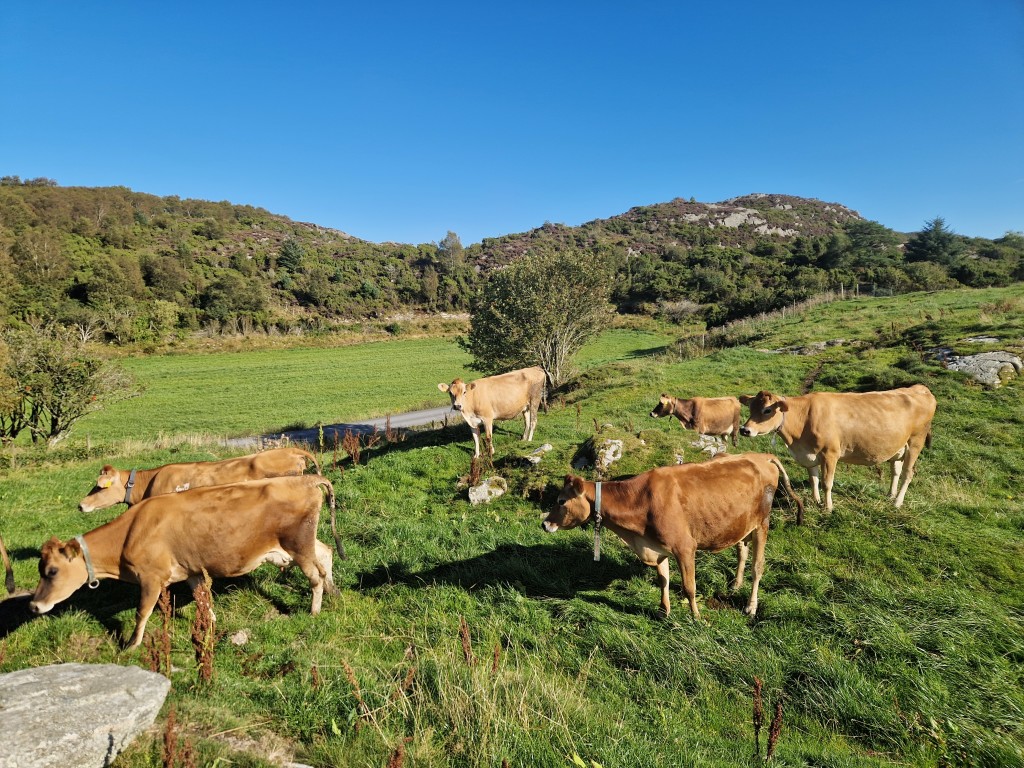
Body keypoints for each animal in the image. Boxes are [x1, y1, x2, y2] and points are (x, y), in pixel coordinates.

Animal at [30, 475, 337, 650]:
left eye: (52, 571)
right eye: (40, 569)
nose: (34, 605)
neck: (130, 532)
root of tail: (306, 480)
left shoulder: (151, 578)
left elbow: (142, 612)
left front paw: (132, 645)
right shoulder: (192, 570)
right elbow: (202, 599)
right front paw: (211, 625)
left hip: (298, 545)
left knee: (315, 575)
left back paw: (314, 611)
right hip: (297, 545)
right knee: (326, 552)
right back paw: (334, 591)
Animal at [542, 453, 804, 619]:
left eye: (561, 501)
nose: (544, 524)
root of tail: (762, 456)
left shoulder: (685, 547)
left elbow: (689, 587)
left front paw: (697, 617)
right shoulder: (658, 546)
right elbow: (663, 580)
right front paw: (663, 611)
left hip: (762, 524)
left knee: (757, 567)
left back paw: (751, 607)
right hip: (740, 524)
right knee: (741, 550)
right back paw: (735, 584)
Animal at [738, 384, 936, 512]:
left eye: (767, 410)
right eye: (750, 408)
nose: (744, 429)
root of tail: (921, 388)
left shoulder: (830, 453)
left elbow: (827, 483)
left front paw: (828, 507)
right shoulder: (809, 455)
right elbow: (814, 480)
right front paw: (816, 501)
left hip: (916, 442)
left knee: (908, 473)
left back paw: (897, 503)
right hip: (899, 447)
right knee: (896, 470)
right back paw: (890, 495)